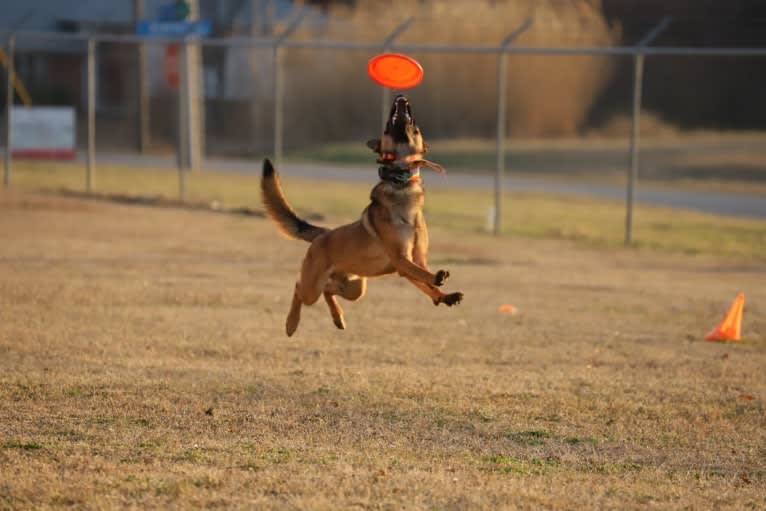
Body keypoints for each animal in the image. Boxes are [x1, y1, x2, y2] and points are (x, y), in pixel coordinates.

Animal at [260, 94, 464, 338]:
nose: (400, 97)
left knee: (329, 290)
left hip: (355, 288)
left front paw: (443, 296)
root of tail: (323, 235)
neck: (402, 183)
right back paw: (291, 323)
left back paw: (338, 318)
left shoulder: (414, 260)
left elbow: (424, 280)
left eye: (415, 128)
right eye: (387, 127)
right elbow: (423, 275)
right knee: (299, 288)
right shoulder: (402, 259)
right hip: (313, 287)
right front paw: (437, 278)